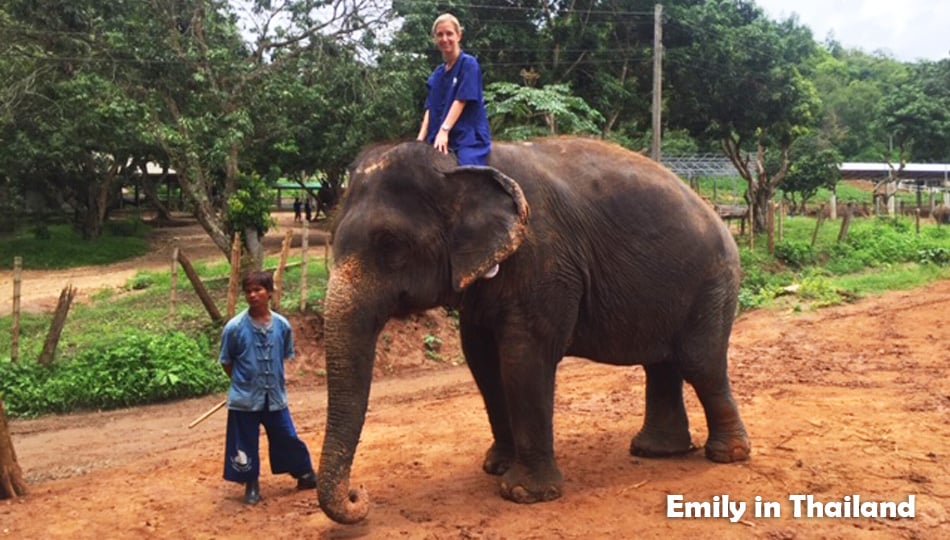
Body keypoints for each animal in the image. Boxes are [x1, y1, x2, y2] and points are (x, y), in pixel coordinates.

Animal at [318, 136, 752, 524]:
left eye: (390, 244)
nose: (359, 494)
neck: (457, 163)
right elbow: (482, 360)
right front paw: (495, 467)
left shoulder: (545, 263)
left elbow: (523, 359)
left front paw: (524, 494)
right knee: (662, 364)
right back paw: (656, 451)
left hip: (713, 284)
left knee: (700, 364)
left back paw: (726, 455)